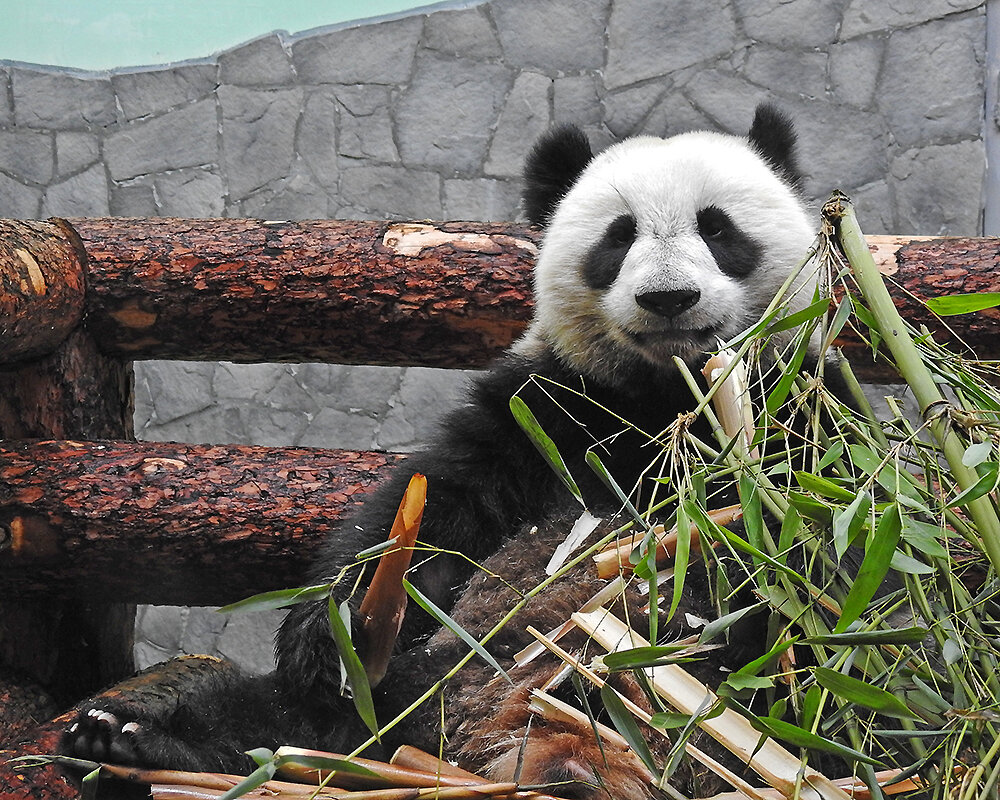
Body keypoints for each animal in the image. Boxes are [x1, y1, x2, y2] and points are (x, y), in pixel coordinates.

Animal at [64, 103, 828, 796]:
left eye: (717, 228)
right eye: (618, 237)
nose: (668, 297)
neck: (663, 400)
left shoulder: (792, 415)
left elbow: (800, 563)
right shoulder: (548, 411)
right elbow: (430, 508)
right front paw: (340, 630)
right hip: (394, 702)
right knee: (284, 721)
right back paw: (129, 739)